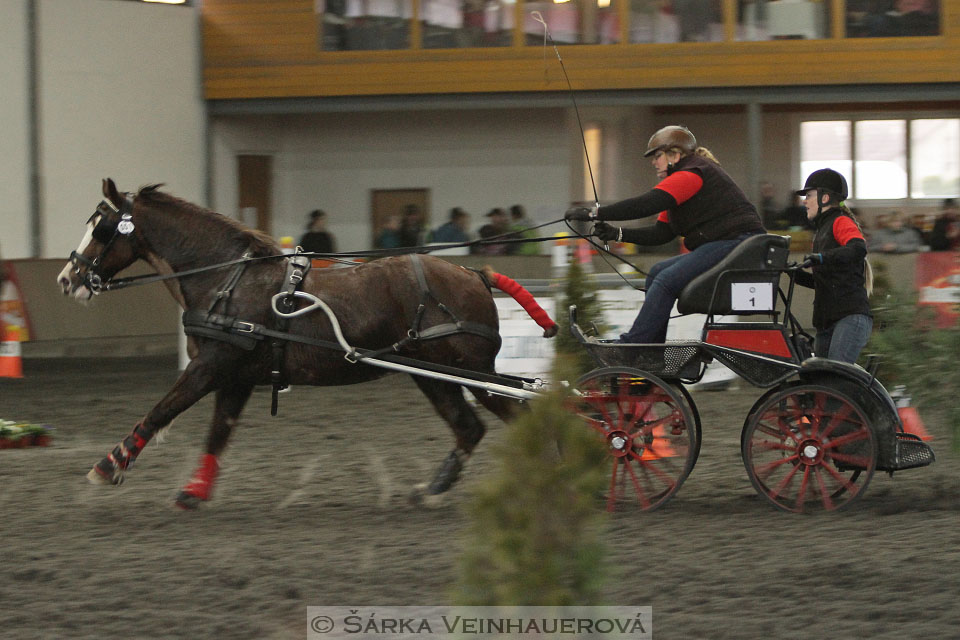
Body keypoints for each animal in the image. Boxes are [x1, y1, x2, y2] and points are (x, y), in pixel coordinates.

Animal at [60, 180, 540, 510]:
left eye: (102, 228)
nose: (67, 279)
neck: (227, 278)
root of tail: (475, 275)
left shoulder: (210, 365)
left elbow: (163, 410)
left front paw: (109, 465)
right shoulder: (235, 376)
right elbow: (218, 433)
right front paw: (194, 491)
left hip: (470, 373)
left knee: (510, 420)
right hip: (435, 376)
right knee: (469, 427)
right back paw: (433, 490)